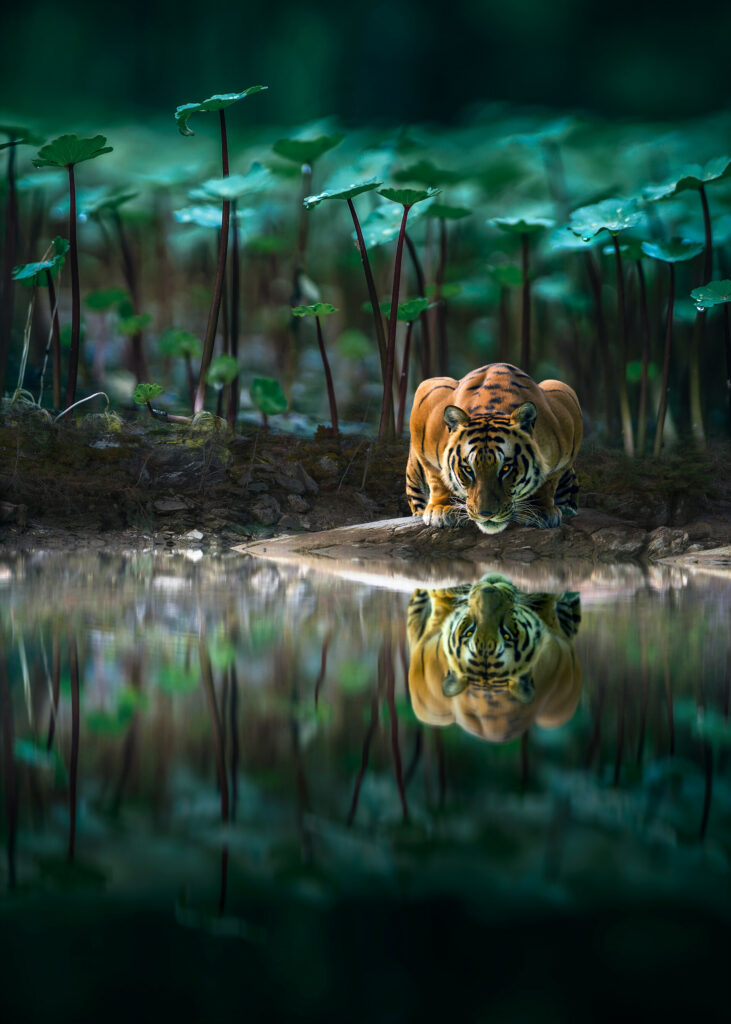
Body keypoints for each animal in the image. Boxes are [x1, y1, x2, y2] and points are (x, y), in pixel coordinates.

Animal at [406, 362, 582, 534]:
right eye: (468, 469)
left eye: (505, 469)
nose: (486, 514)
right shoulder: (427, 398)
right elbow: (437, 476)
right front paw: (443, 508)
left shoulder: (566, 402)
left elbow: (548, 481)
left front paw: (539, 510)